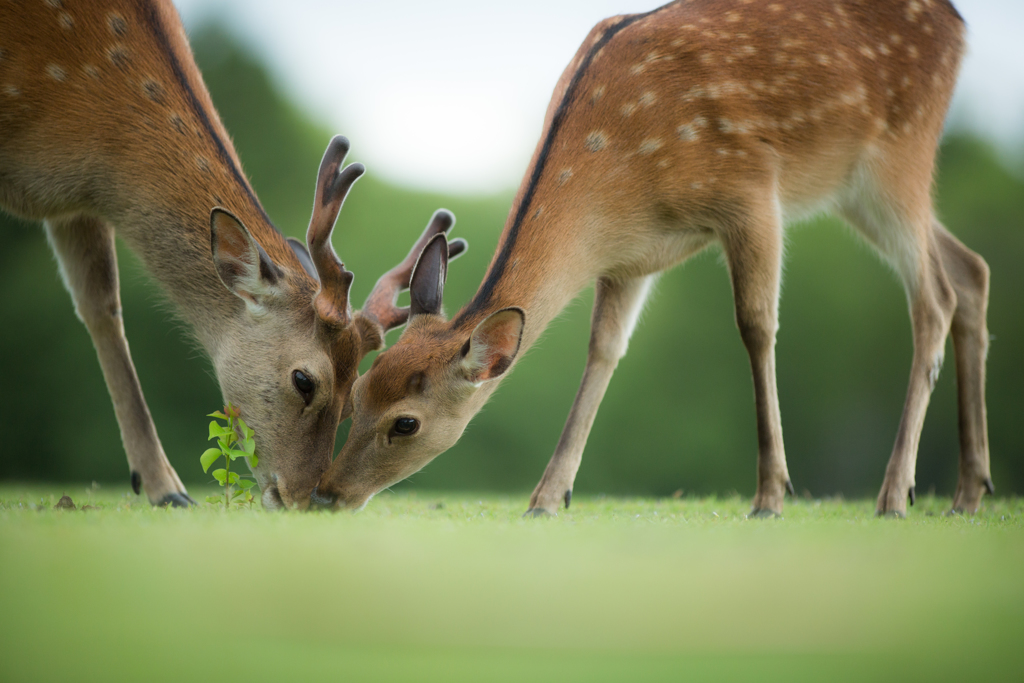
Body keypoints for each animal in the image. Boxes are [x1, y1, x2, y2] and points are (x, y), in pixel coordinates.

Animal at [0, 0, 464, 509]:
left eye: (352, 398)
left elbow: (101, 307)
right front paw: (166, 487)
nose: (301, 499)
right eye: (305, 380)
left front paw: (164, 488)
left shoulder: (74, 206)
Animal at [311, 0, 991, 518]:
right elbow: (604, 351)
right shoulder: (632, 259)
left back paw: (896, 494)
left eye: (406, 423)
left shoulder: (752, 191)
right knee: (971, 269)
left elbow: (756, 327)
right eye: (361, 388)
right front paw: (548, 497)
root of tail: (959, 22)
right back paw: (967, 493)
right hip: (853, 188)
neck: (621, 183)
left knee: (935, 295)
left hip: (900, 151)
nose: (325, 493)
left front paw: (772, 495)